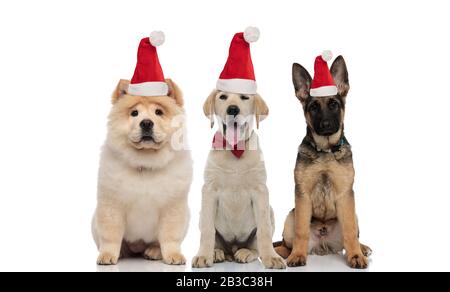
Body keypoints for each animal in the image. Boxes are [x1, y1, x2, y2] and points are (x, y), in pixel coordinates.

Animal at [276, 55, 370, 270]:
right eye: (313, 107)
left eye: (334, 104)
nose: (326, 125)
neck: (326, 151)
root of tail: (323, 242)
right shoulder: (302, 195)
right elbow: (301, 230)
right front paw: (298, 255)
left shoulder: (346, 195)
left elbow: (350, 231)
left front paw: (356, 255)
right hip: (290, 216)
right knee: (285, 242)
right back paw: (284, 252)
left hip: (354, 213)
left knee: (352, 234)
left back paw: (362, 248)